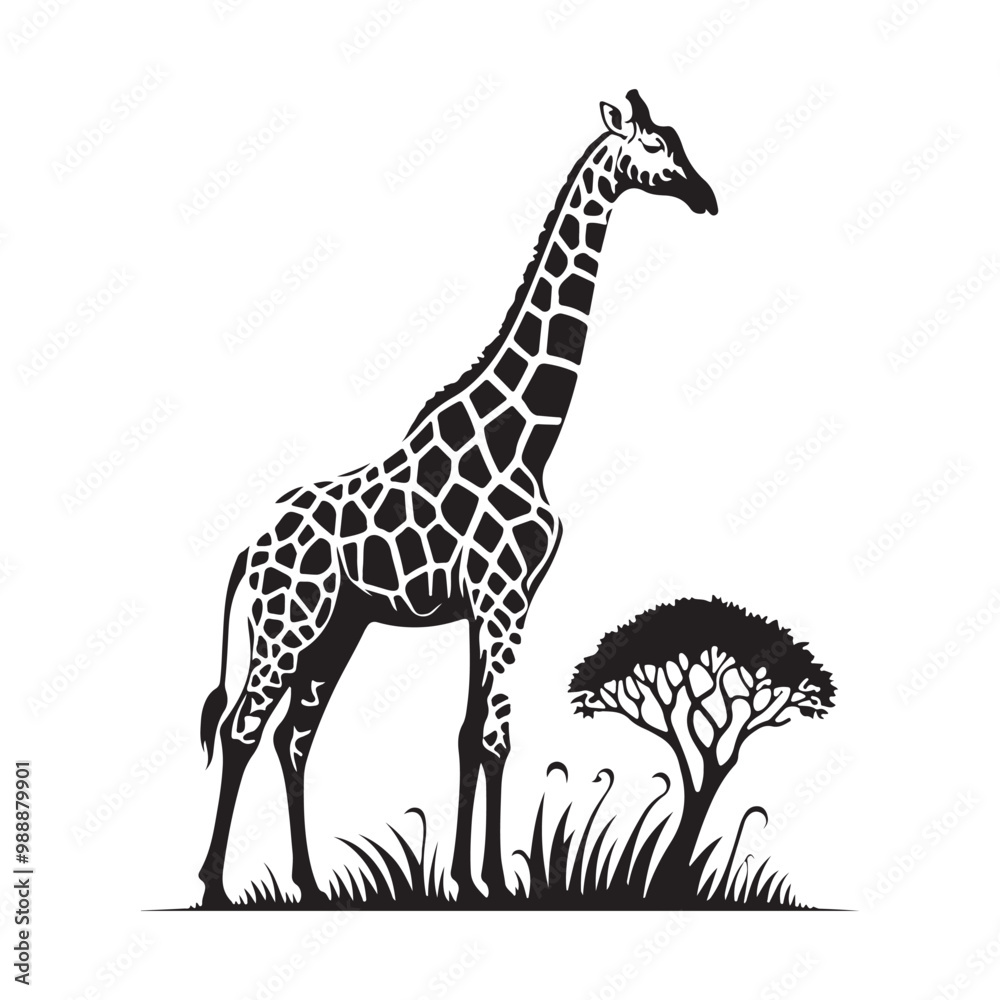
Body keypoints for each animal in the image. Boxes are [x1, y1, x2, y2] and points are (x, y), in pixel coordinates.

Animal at [198, 89, 718, 905]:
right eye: (658, 146)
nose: (705, 196)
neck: (527, 437)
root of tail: (250, 548)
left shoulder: (492, 604)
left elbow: (472, 735)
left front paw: (468, 880)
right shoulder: (504, 598)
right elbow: (495, 736)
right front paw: (499, 883)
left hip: (338, 629)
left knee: (294, 735)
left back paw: (309, 883)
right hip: (289, 626)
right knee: (243, 728)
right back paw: (216, 885)